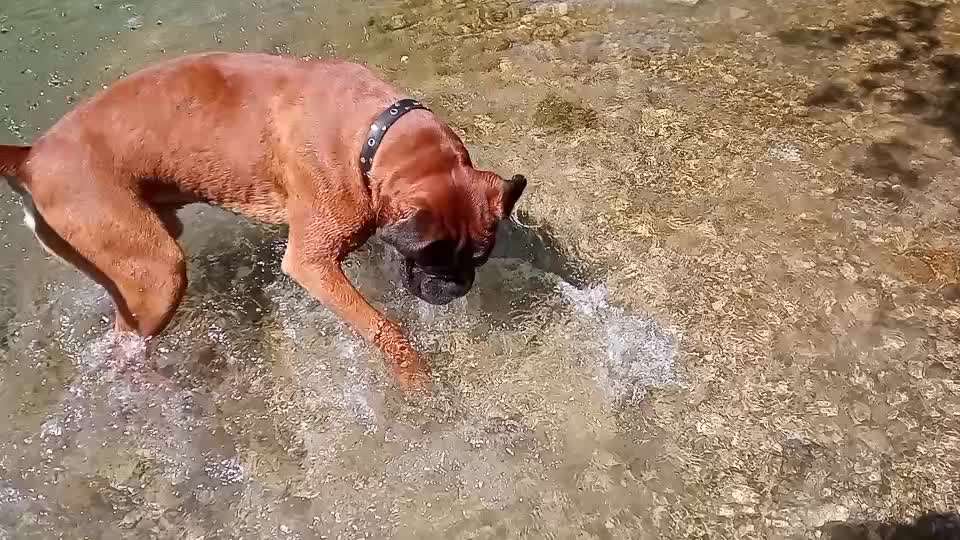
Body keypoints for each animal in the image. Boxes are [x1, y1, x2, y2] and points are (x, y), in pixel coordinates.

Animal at [0, 52, 524, 390]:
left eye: (479, 258)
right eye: (433, 257)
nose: (457, 285)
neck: (373, 134)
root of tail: (30, 156)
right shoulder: (311, 263)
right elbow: (383, 328)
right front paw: (416, 380)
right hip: (159, 272)